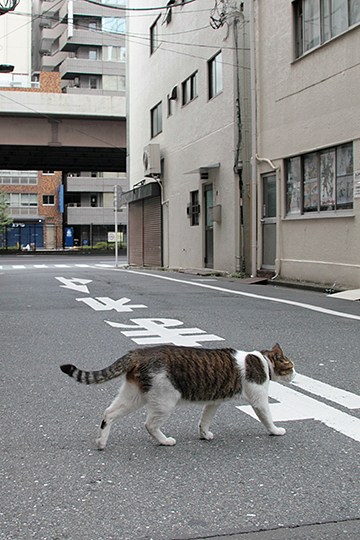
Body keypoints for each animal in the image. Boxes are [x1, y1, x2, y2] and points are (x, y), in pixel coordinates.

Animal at [59, 344, 296, 450]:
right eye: (291, 366)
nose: (296, 374)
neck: (262, 361)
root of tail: (139, 352)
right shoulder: (258, 399)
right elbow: (267, 417)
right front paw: (276, 431)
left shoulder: (213, 402)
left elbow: (204, 420)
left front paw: (205, 434)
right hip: (165, 399)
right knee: (149, 424)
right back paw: (165, 441)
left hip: (133, 396)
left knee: (108, 413)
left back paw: (101, 442)